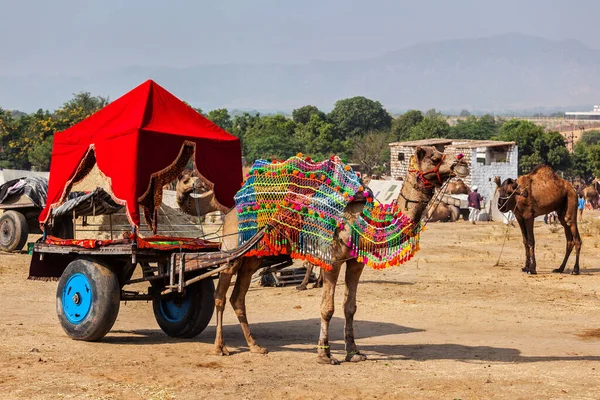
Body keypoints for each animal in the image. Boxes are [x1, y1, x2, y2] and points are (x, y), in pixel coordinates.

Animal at [173, 145, 464, 364]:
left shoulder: (355, 262)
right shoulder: (332, 259)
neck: (362, 218)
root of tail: (232, 208)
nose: (462, 163)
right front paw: (325, 355)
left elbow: (350, 307)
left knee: (238, 297)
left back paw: (255, 346)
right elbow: (328, 308)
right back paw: (220, 348)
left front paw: (354, 352)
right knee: (221, 295)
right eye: (435, 157)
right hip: (233, 250)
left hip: (254, 255)